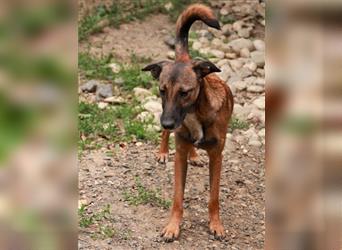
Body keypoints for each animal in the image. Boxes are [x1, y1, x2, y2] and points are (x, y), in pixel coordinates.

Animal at [141, 3, 232, 241]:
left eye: (185, 92)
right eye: (162, 90)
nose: (167, 123)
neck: (194, 115)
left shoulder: (217, 157)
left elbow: (214, 197)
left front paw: (216, 225)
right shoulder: (179, 155)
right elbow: (177, 198)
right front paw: (172, 226)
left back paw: (195, 155)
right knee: (170, 138)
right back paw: (163, 151)